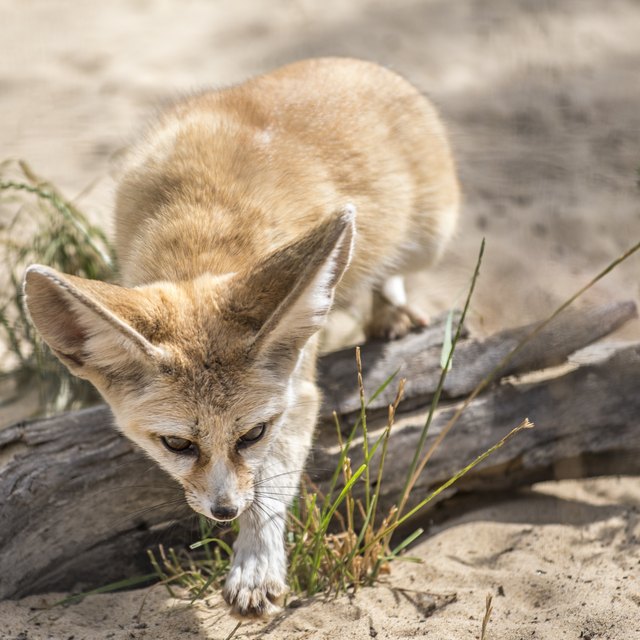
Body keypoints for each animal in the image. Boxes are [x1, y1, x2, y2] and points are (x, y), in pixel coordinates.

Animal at [25, 58, 460, 616]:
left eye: (252, 434)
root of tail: (355, 64)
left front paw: (255, 563)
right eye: (177, 443)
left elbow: (271, 486)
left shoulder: (299, 394)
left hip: (431, 240)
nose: (225, 511)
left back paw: (391, 309)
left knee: (394, 270)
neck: (203, 229)